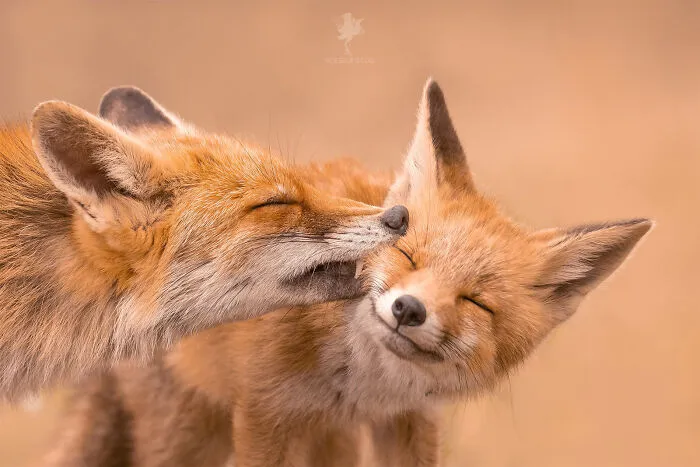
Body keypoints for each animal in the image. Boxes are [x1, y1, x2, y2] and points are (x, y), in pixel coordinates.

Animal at [42, 80, 652, 467]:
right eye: (407, 257)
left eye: (476, 302)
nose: (409, 309)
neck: (362, 384)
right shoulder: (265, 414)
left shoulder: (407, 421)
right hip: (188, 430)